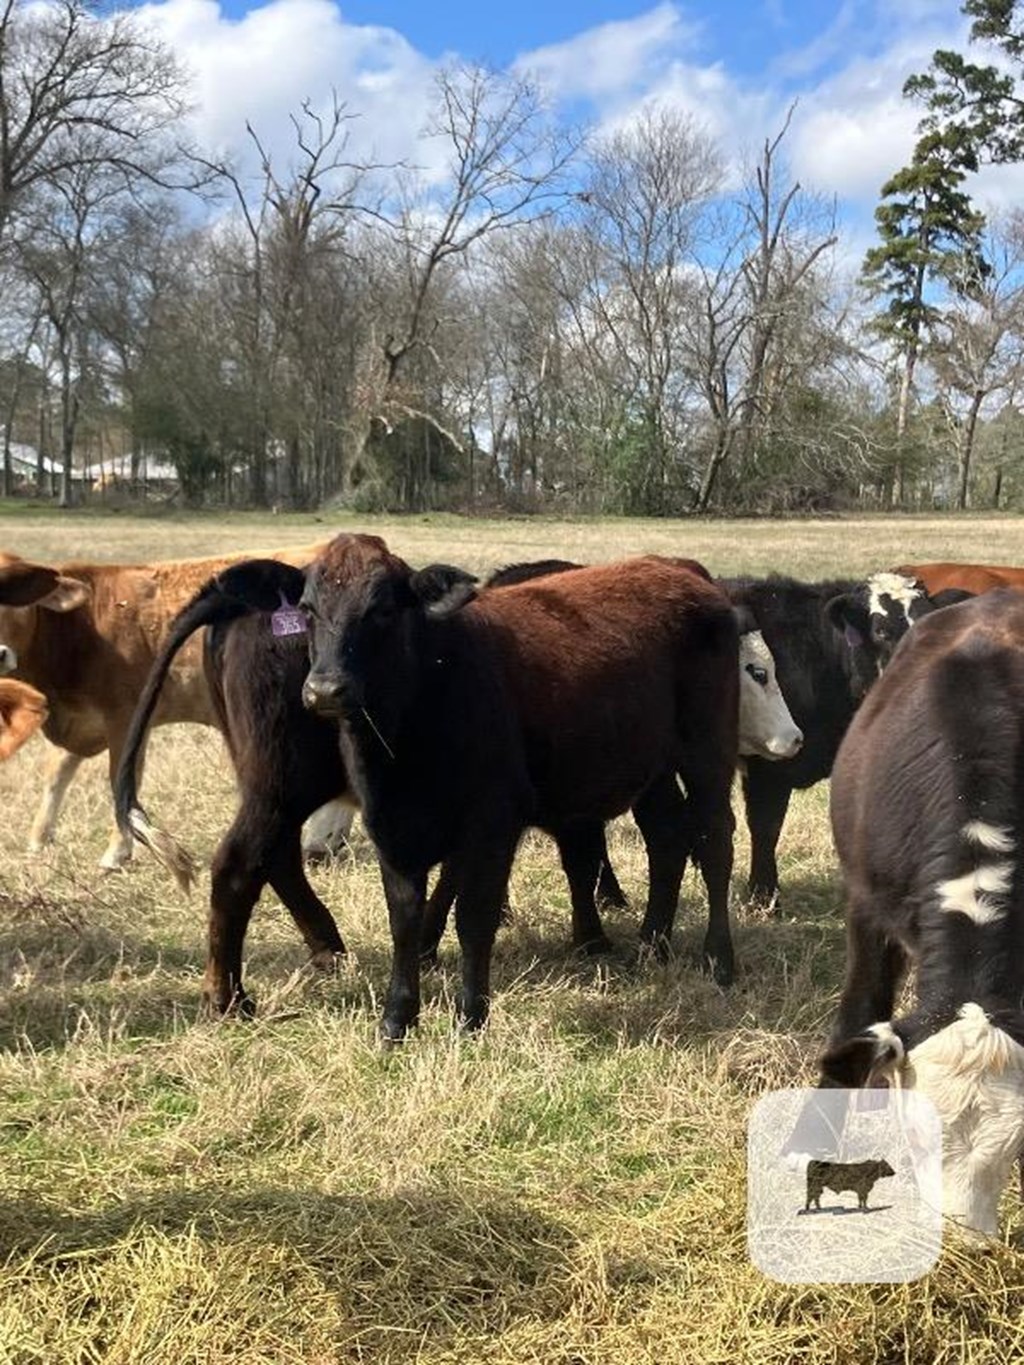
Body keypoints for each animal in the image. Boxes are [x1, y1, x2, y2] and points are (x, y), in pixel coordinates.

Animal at [0, 540, 329, 868]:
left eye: (17, 597)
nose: (1, 653)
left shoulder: (125, 718)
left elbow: (120, 780)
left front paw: (116, 852)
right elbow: (56, 773)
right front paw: (38, 839)